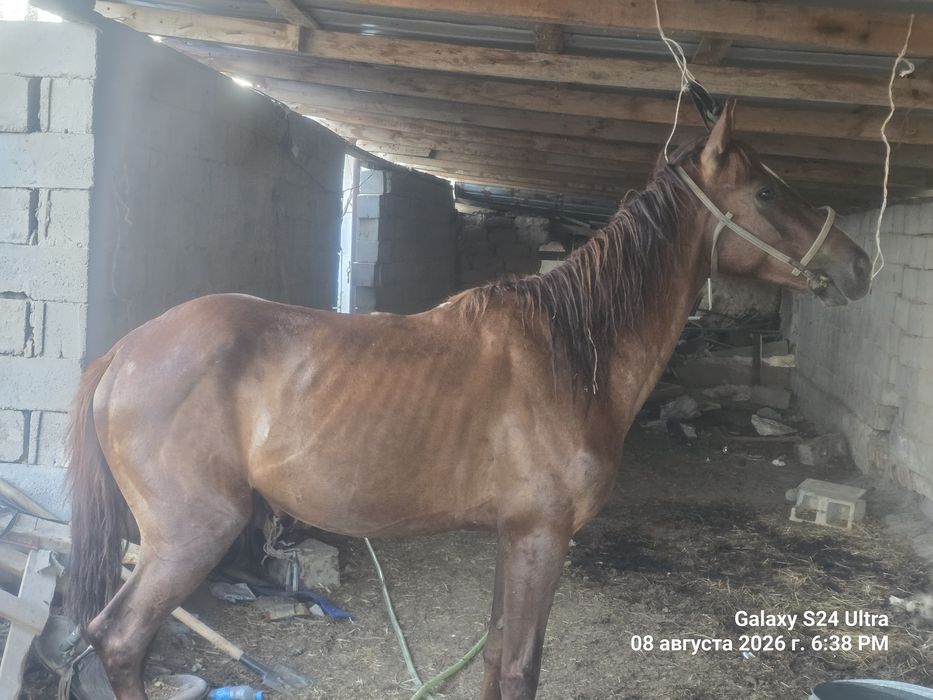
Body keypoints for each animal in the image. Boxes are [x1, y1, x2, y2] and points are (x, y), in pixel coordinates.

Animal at [65, 101, 871, 699]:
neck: (570, 354)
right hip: (191, 535)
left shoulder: (514, 538)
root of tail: (123, 352)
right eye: (765, 191)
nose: (858, 263)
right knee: (121, 641)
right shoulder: (542, 537)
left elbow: (494, 659)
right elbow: (519, 668)